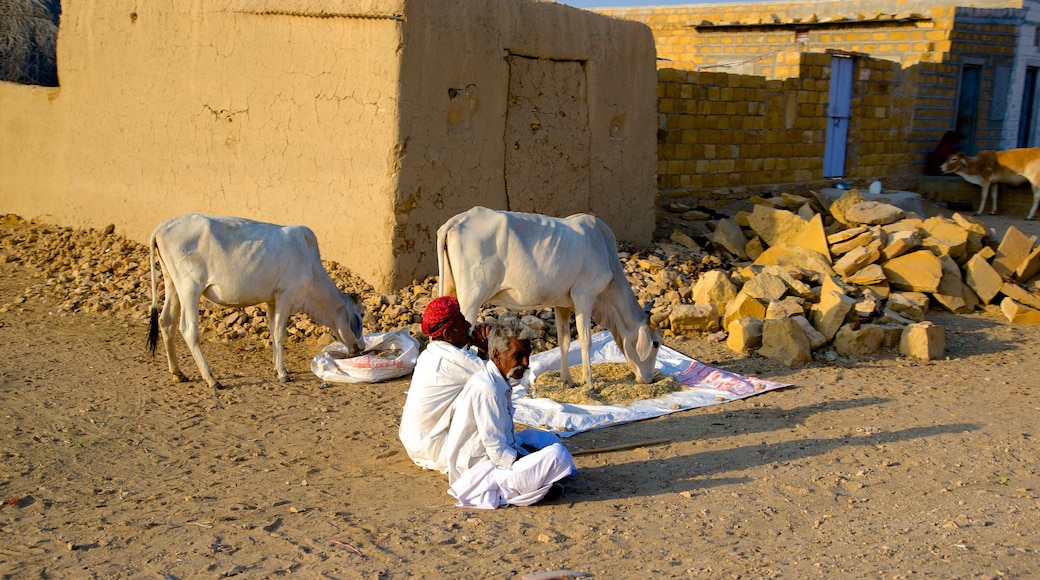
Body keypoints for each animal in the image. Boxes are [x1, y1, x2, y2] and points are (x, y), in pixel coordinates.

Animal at [145, 215, 366, 390]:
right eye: (360, 315)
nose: (361, 347)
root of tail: (164, 226)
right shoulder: (285, 294)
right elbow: (279, 333)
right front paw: (283, 373)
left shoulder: (272, 300)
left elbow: (273, 330)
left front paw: (277, 367)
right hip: (189, 288)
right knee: (188, 330)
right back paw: (212, 379)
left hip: (172, 284)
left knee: (166, 322)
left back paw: (178, 373)